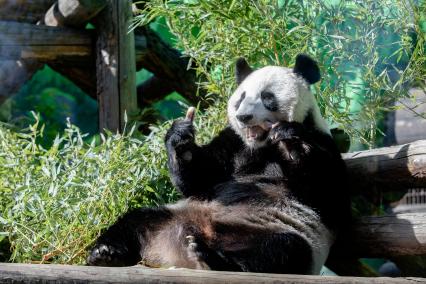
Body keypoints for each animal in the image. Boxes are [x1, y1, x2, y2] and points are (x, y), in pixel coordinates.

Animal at [86, 53, 350, 276]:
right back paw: (106, 254)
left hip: (280, 230)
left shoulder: (325, 144)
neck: (261, 146)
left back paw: (212, 258)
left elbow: (325, 188)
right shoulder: (233, 142)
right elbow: (200, 178)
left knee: (282, 250)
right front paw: (181, 137)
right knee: (136, 219)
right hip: (173, 214)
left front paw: (290, 140)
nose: (243, 117)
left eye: (267, 98)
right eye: (241, 98)